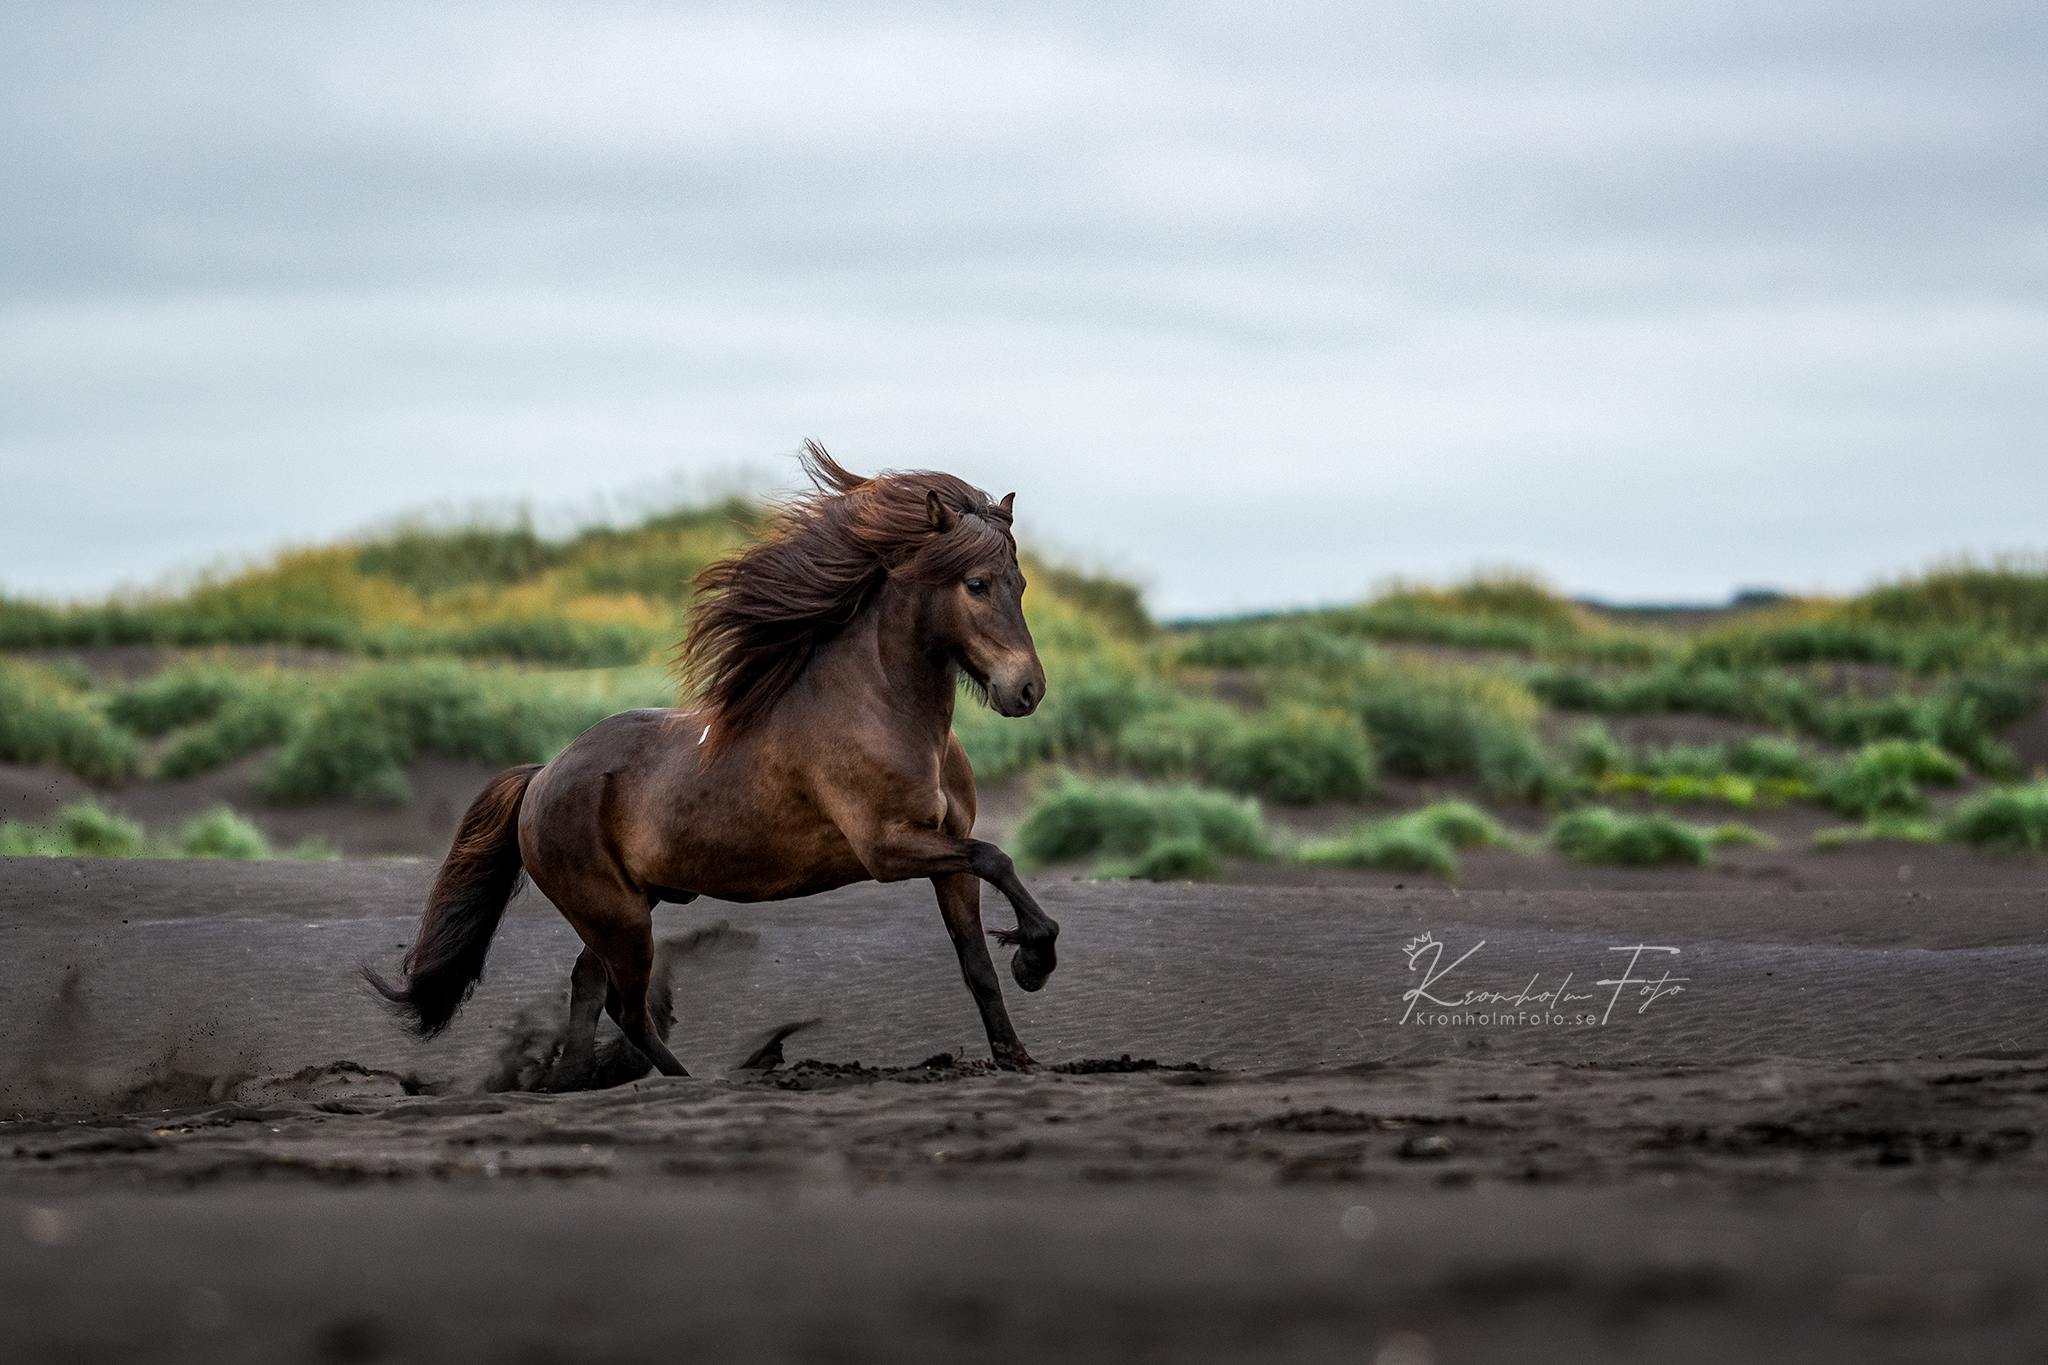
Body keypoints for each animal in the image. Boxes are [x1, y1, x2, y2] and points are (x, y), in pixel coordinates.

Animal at [368, 444, 1064, 1080]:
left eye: (1021, 584)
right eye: (976, 583)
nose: (1028, 691)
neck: (883, 710)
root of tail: (542, 777)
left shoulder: (947, 846)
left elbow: (977, 959)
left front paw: (1018, 1047)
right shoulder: (887, 849)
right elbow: (998, 859)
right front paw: (1035, 960)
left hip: (628, 908)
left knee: (589, 988)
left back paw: (578, 1084)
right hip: (618, 917)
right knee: (624, 1006)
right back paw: (689, 1079)